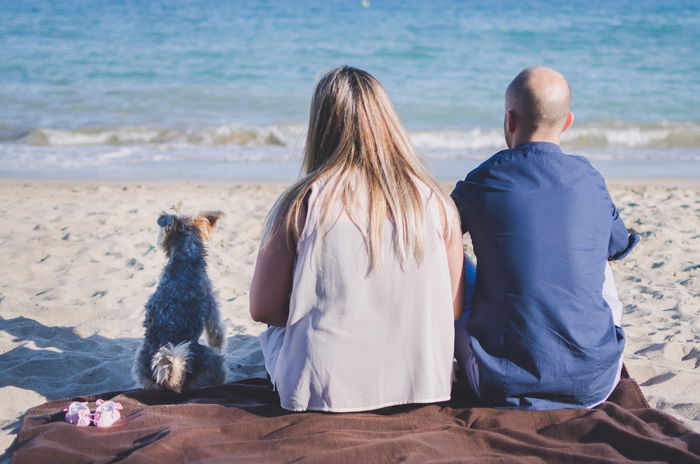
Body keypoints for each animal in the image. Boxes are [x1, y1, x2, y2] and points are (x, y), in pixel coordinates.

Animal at [133, 209, 226, 392]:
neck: (185, 259)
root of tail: (172, 382)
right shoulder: (211, 305)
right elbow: (217, 335)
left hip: (140, 362)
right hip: (213, 362)